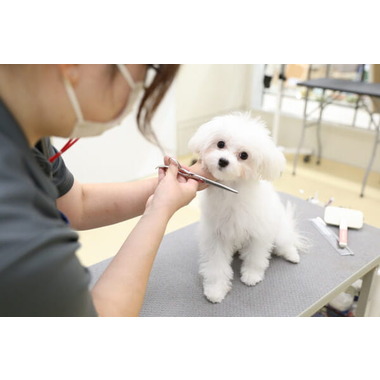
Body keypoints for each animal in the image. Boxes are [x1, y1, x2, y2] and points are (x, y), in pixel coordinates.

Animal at [189, 113, 302, 302]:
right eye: (220, 144)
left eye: (244, 155)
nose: (223, 161)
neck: (231, 191)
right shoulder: (216, 236)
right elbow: (216, 265)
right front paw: (216, 289)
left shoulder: (259, 233)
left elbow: (256, 257)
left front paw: (251, 276)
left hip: (279, 233)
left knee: (286, 243)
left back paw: (292, 255)